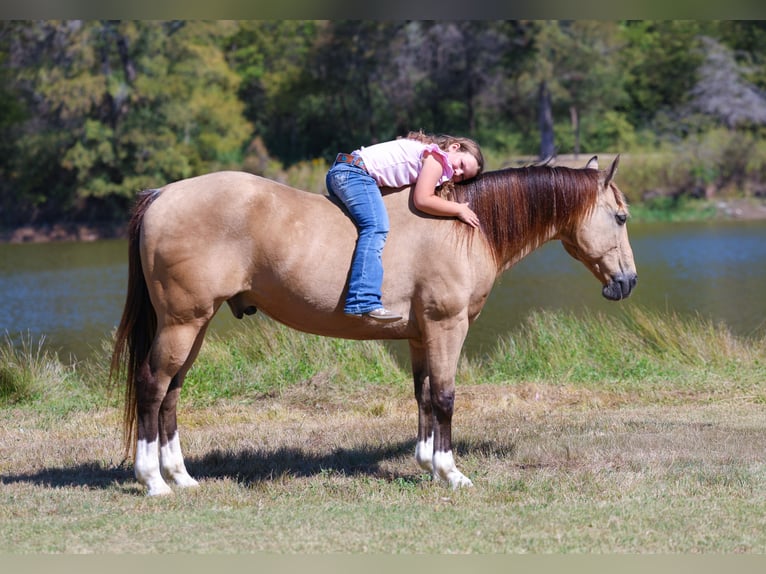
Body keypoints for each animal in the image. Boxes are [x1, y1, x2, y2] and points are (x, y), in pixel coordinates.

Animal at [110, 155, 637, 496]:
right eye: (620, 216)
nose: (627, 281)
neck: (465, 227)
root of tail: (162, 194)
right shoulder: (447, 327)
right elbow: (445, 397)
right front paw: (452, 473)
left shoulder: (421, 334)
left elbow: (424, 396)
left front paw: (427, 464)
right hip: (182, 323)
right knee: (153, 387)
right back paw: (153, 481)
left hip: (192, 326)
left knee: (172, 392)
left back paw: (182, 477)